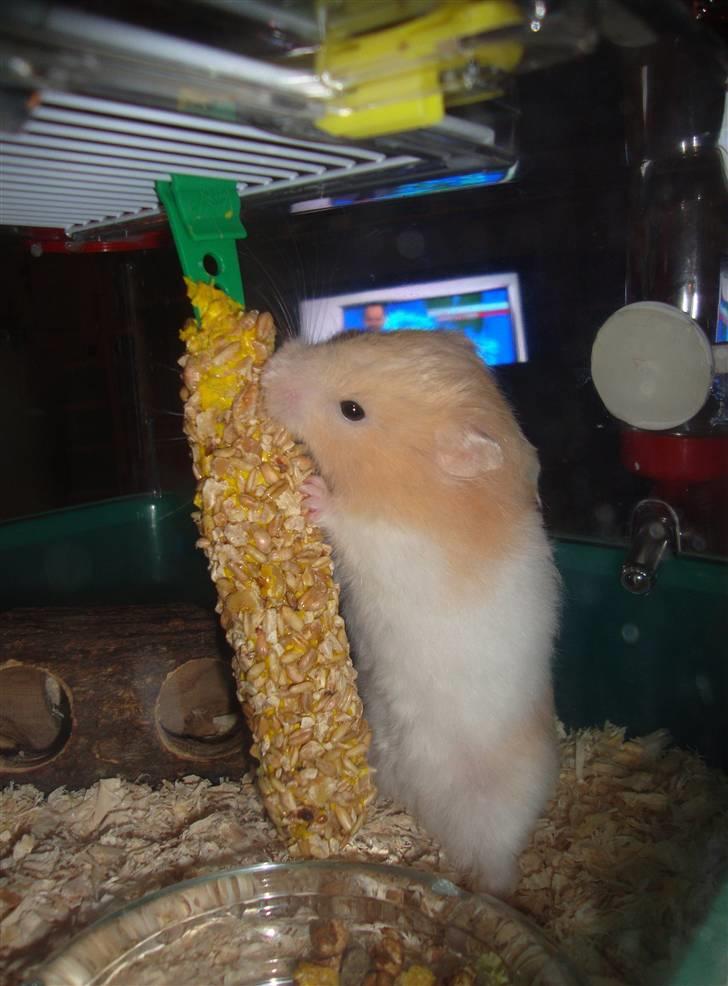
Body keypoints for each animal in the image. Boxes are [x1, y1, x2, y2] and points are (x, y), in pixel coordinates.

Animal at [261, 329, 560, 897]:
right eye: (346, 337)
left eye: (352, 410)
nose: (271, 367)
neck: (414, 488)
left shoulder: (394, 546)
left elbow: (349, 523)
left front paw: (312, 492)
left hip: (489, 812)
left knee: (493, 865)